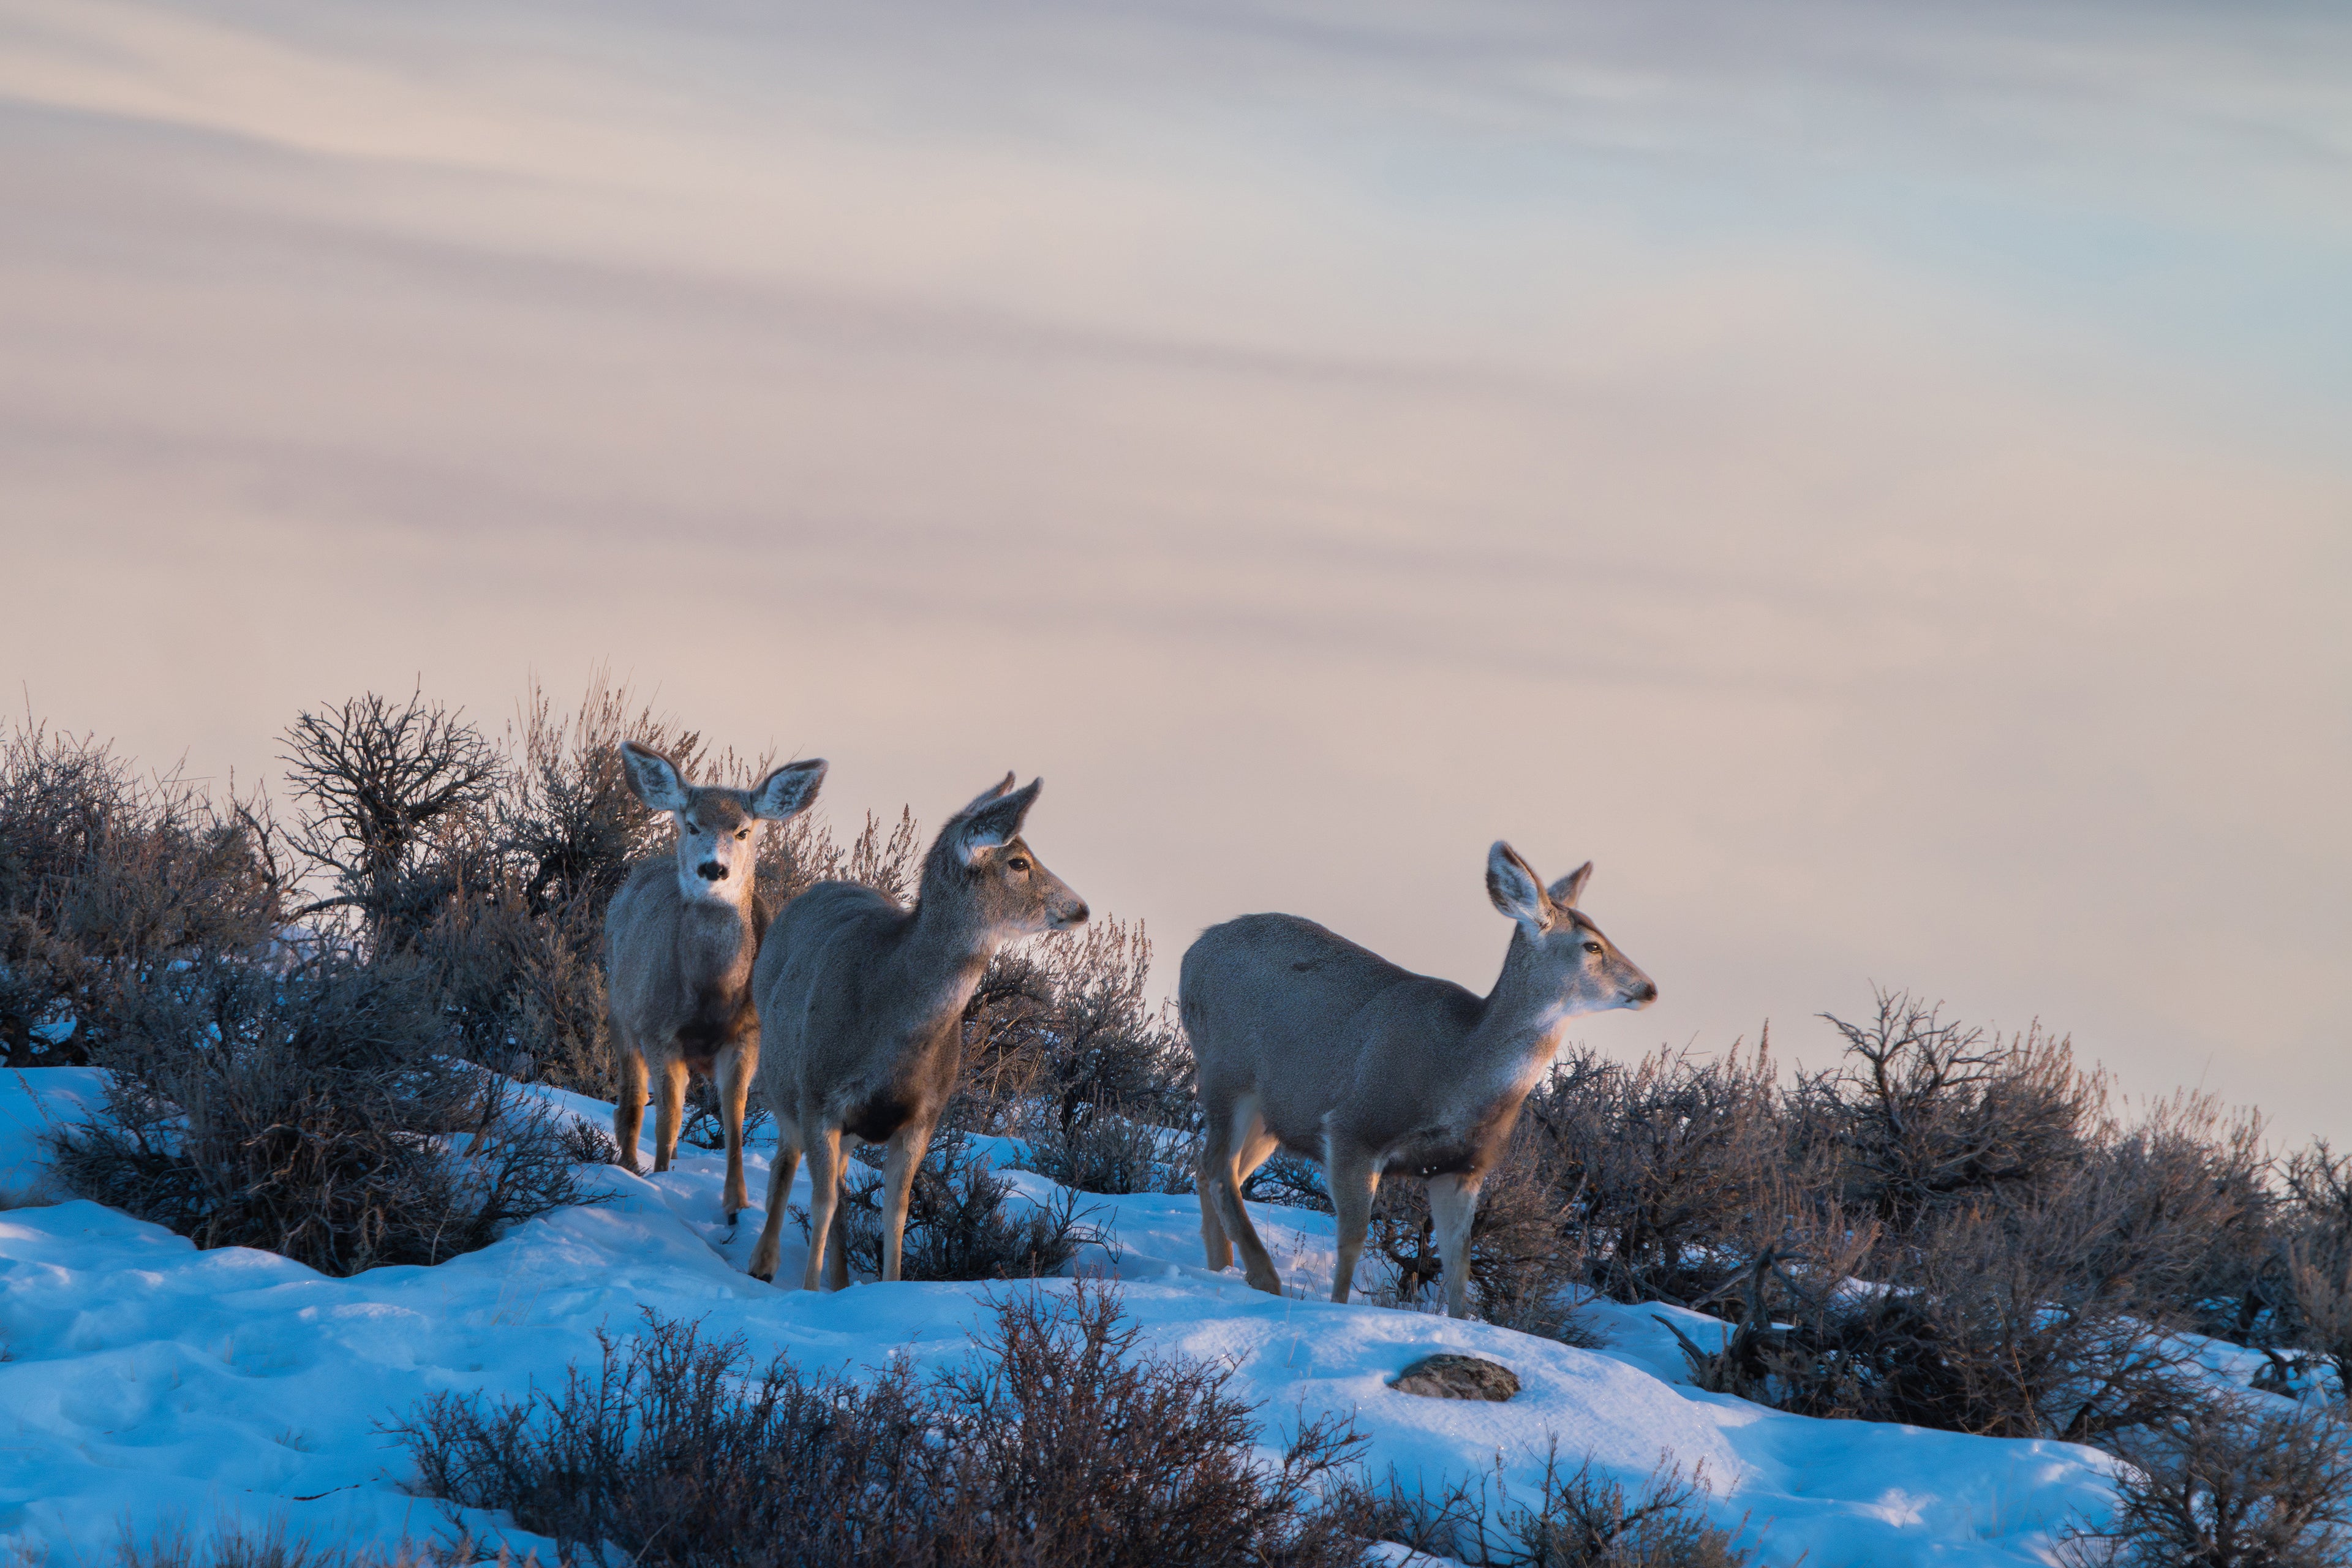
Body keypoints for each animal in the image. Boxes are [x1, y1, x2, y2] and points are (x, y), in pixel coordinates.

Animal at [605, 740, 827, 1220]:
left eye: (743, 831)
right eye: (691, 825)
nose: (713, 869)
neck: (710, 994)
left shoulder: (748, 1036)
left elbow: (735, 1119)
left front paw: (737, 1201)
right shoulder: (658, 1030)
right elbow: (668, 1117)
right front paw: (663, 1178)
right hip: (622, 1013)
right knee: (632, 1099)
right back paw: (629, 1166)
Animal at [746, 774, 1088, 1289]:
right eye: (1018, 861)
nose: (1081, 908)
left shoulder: (922, 1116)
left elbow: (896, 1212)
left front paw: (887, 1290)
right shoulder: (819, 1098)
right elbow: (821, 1203)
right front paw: (807, 1292)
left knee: (840, 1181)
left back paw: (840, 1280)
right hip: (782, 1078)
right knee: (787, 1160)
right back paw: (763, 1263)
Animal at [1181, 841, 1656, 1319]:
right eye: (1592, 945)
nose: (1650, 988)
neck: (1458, 1068)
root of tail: (1195, 949)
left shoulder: (1461, 1167)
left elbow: (1459, 1265)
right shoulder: (1355, 1128)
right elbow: (1352, 1240)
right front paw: (1338, 1309)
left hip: (1274, 1114)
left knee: (1212, 1169)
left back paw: (1222, 1267)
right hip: (1227, 1071)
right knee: (1219, 1169)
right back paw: (1263, 1276)